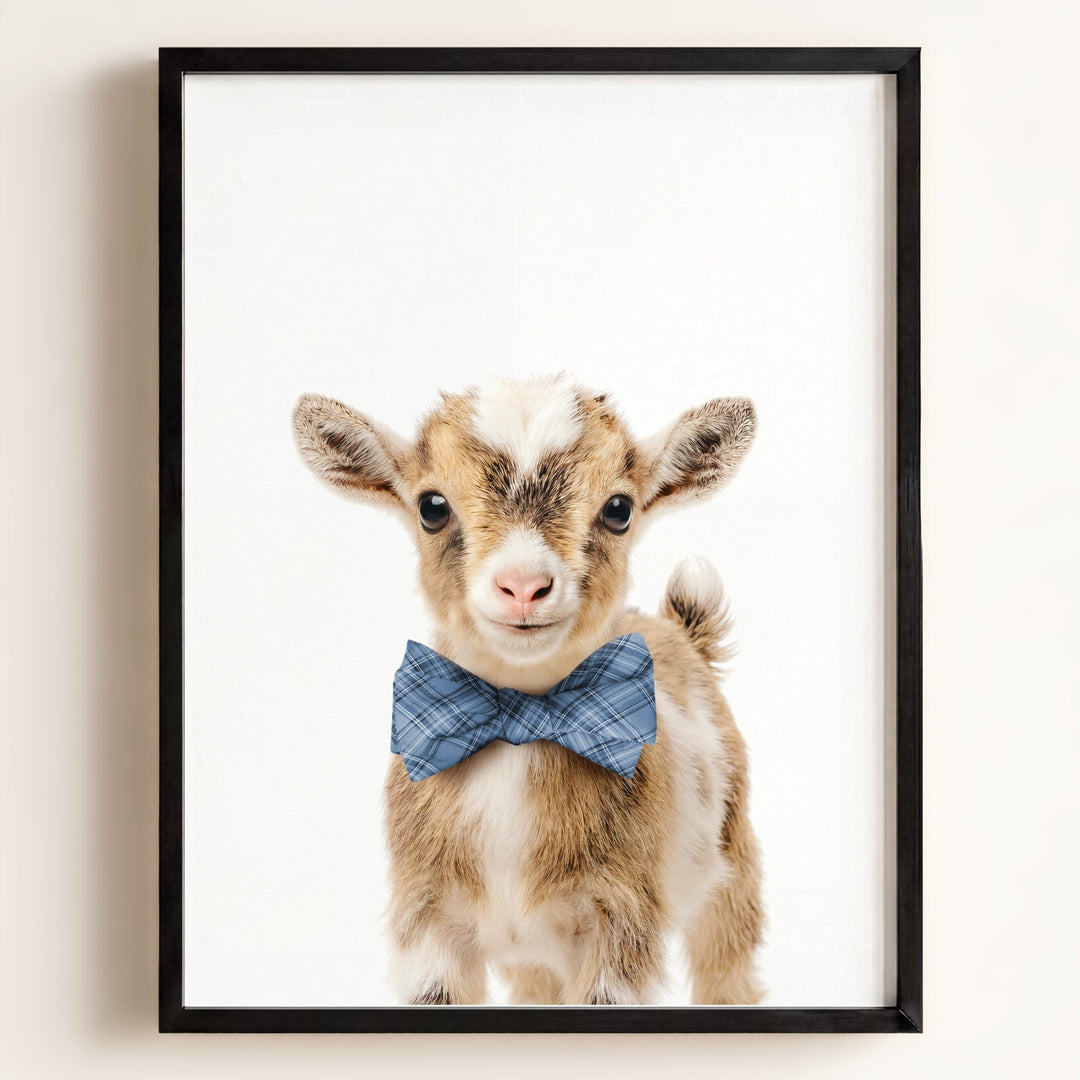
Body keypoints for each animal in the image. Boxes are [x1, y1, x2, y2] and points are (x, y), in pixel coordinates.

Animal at [292, 375, 763, 1005]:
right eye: (432, 506)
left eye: (619, 509)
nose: (522, 586)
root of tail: (681, 630)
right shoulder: (428, 922)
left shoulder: (620, 920)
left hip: (733, 866)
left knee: (728, 967)